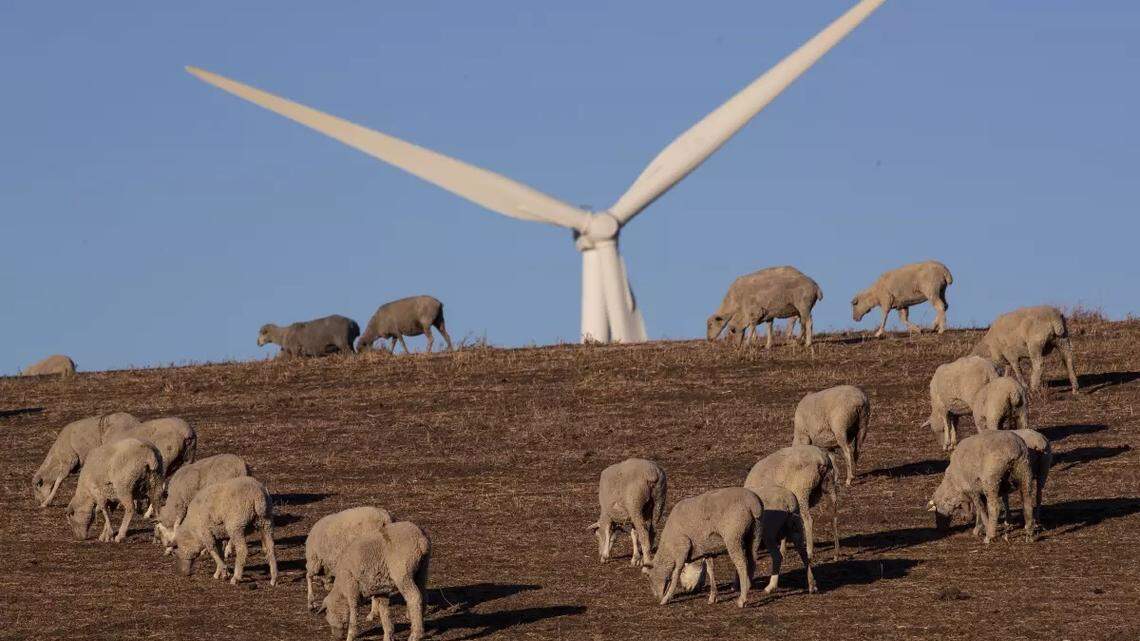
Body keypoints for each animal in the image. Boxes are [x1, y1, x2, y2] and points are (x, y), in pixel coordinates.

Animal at [679, 483, 815, 596]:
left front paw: (739, 585)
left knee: (777, 556)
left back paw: (770, 587)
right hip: (795, 528)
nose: (685, 589)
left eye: (683, 571)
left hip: (769, 533)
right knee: (804, 554)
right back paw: (811, 585)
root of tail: (788, 501)